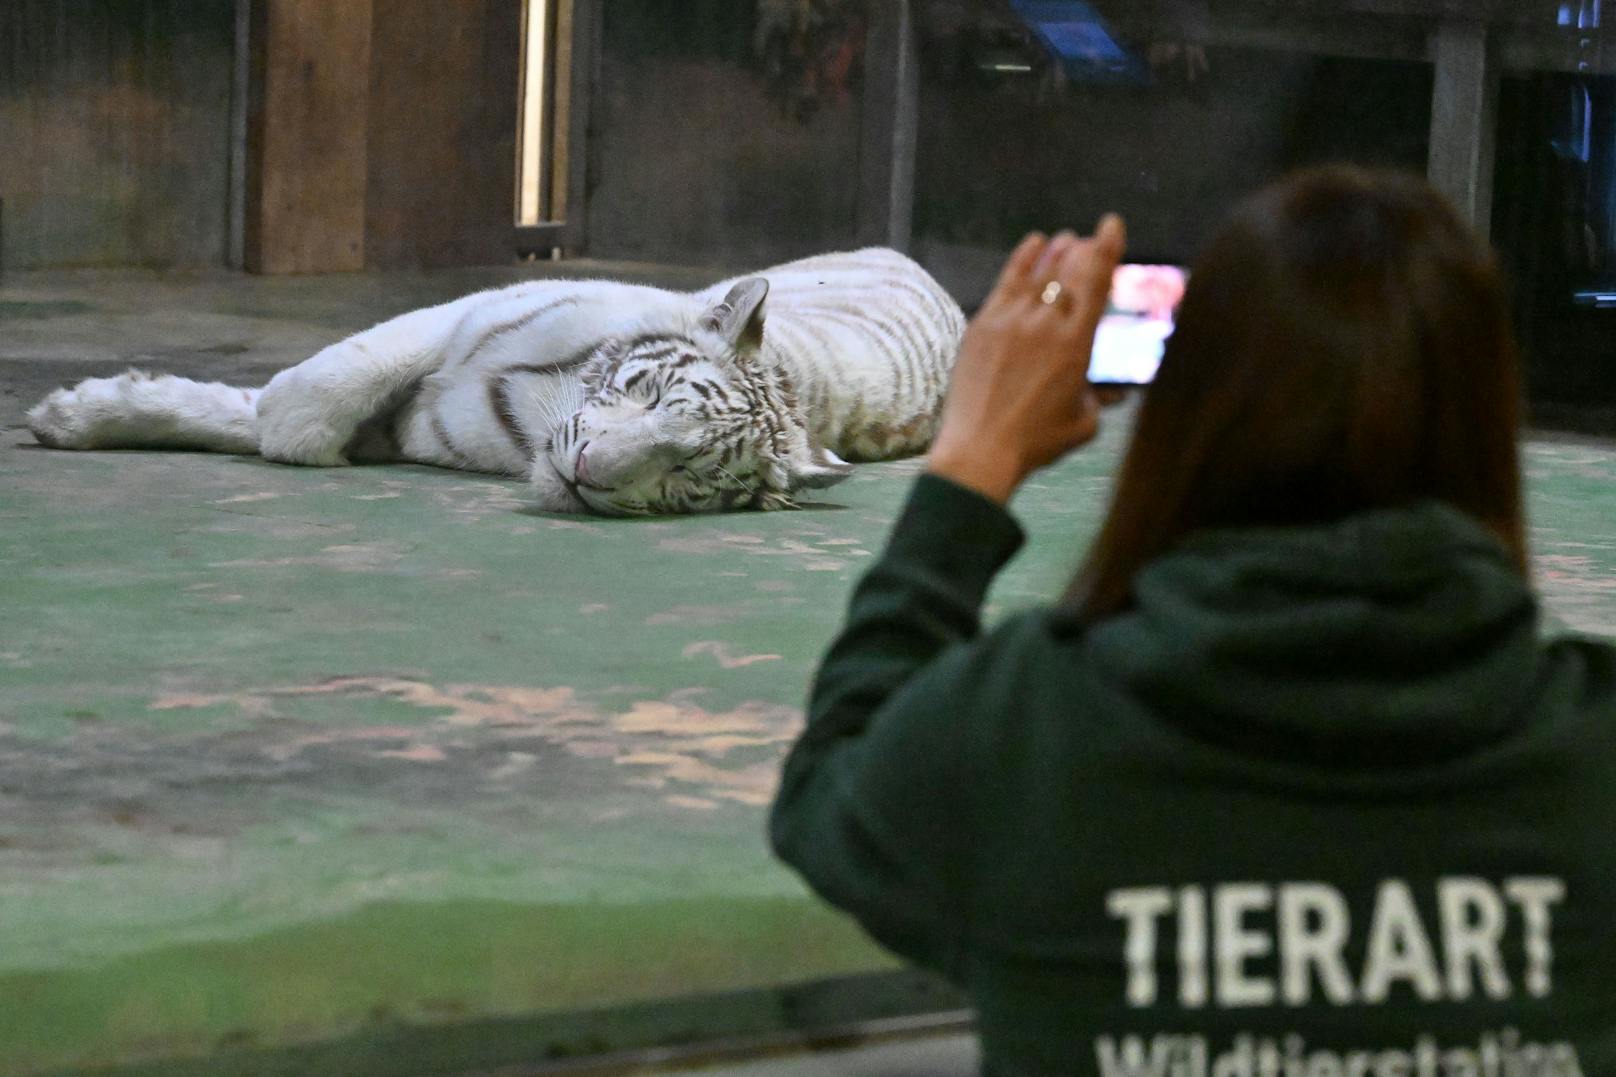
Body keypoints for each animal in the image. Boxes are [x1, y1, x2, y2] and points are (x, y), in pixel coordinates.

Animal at [25, 245, 963, 511]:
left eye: (689, 477)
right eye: (647, 395)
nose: (586, 475)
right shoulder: (463, 316)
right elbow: (313, 389)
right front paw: (72, 414)